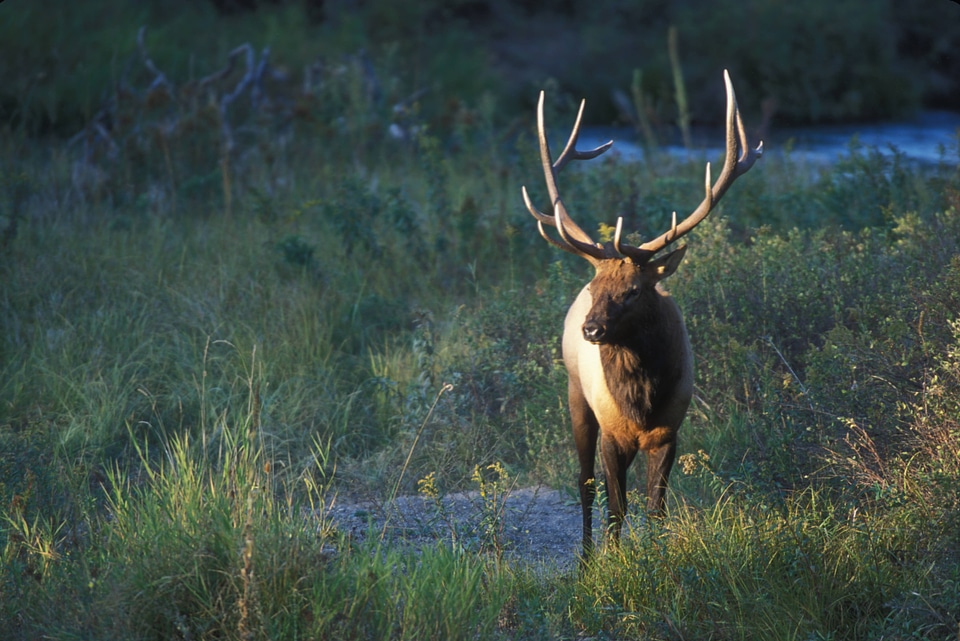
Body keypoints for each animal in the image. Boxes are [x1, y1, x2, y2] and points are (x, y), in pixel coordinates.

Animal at [520, 70, 760, 556]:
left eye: (633, 290)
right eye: (594, 288)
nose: (592, 329)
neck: (642, 401)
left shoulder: (669, 431)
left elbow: (656, 510)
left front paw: (657, 557)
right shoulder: (613, 432)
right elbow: (616, 508)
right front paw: (612, 562)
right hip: (575, 394)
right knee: (584, 481)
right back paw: (586, 556)